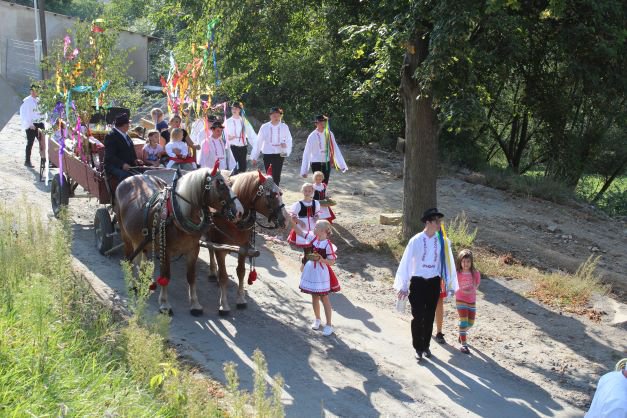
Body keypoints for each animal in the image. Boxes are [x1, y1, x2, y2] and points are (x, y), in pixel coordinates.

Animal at [115, 166, 244, 316]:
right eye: (220, 185)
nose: (240, 211)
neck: (177, 214)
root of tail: (129, 178)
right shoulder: (166, 250)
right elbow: (166, 275)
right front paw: (165, 304)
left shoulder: (193, 249)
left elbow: (191, 276)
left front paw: (195, 304)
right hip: (125, 235)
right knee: (128, 259)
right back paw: (132, 283)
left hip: (143, 239)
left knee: (141, 258)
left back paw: (145, 278)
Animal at [205, 169, 288, 315]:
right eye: (271, 195)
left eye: (281, 193)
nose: (284, 220)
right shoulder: (221, 247)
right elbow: (224, 276)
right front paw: (224, 304)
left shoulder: (243, 247)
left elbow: (241, 272)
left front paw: (241, 299)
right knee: (210, 249)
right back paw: (213, 272)